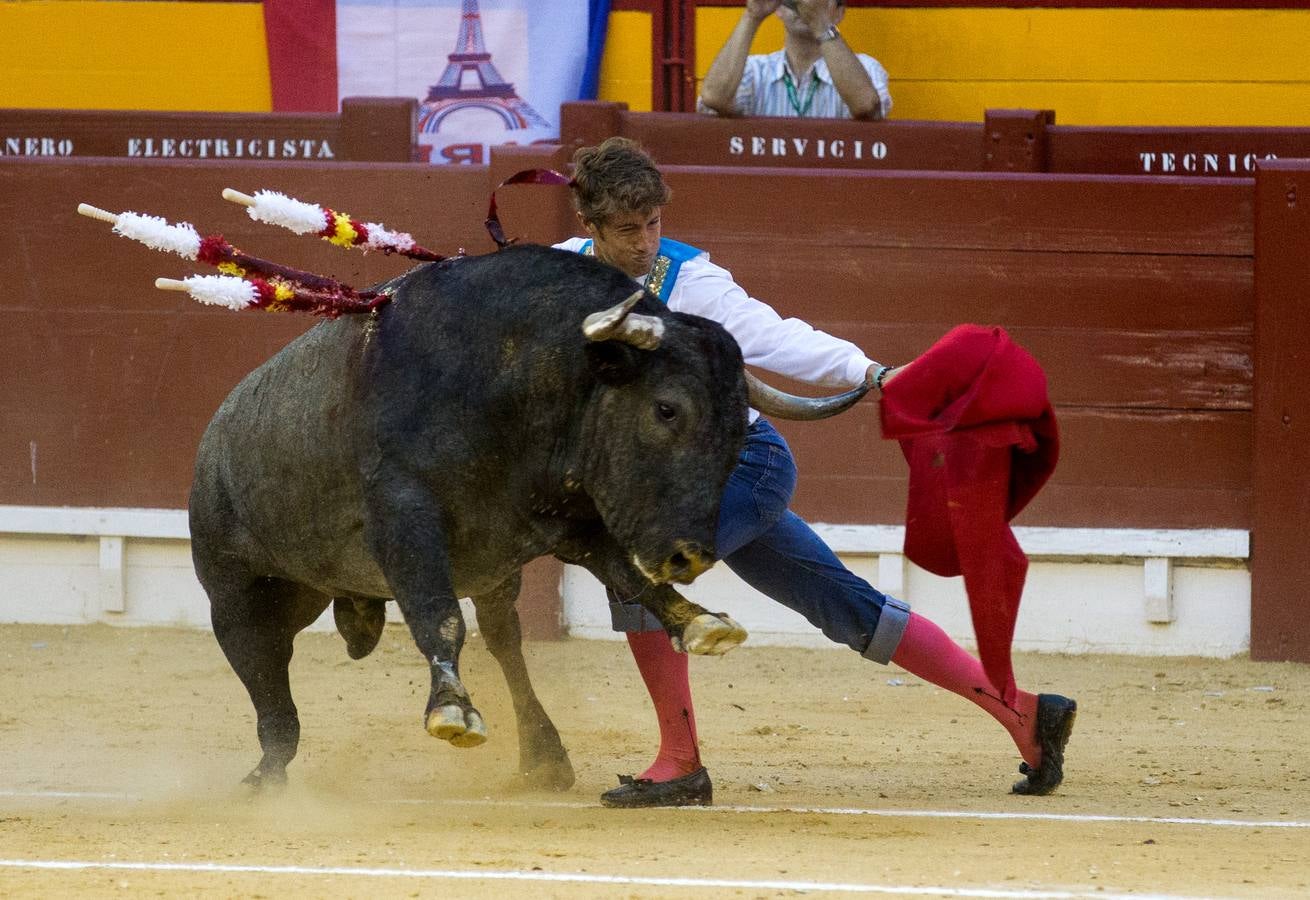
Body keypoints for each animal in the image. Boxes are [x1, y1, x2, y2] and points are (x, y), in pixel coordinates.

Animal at [191, 244, 869, 786]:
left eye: (736, 429)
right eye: (666, 409)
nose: (690, 556)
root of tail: (216, 432)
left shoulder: (571, 522)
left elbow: (631, 577)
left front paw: (699, 620)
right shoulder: (404, 515)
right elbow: (437, 616)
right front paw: (452, 711)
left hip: (455, 576)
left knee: (504, 638)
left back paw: (545, 757)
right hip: (234, 590)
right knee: (266, 677)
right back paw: (265, 776)